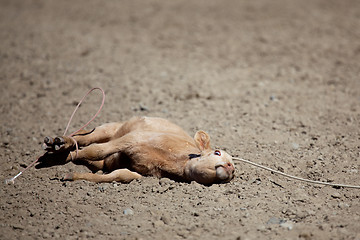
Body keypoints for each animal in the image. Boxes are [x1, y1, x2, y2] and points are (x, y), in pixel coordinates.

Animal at [35, 117, 233, 185]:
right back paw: (59, 143)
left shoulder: (140, 172)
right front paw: (52, 160)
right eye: (217, 153)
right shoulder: (133, 139)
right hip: (109, 128)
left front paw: (73, 176)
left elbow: (119, 174)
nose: (231, 168)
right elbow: (95, 150)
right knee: (85, 138)